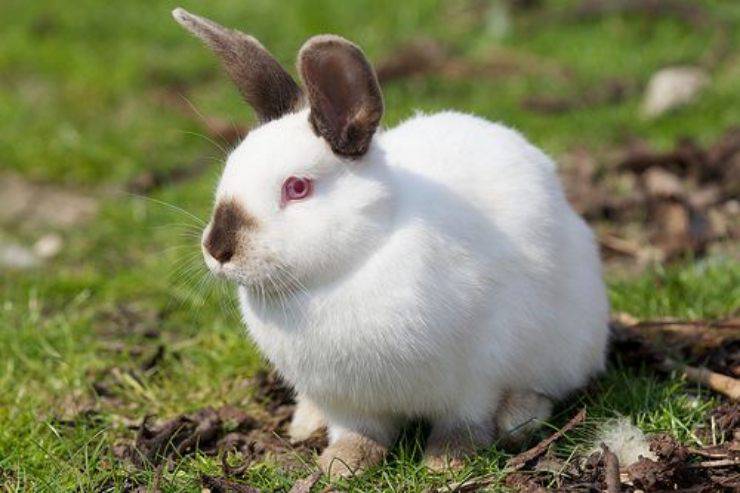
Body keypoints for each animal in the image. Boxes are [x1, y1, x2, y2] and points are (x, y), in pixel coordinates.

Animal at [173, 8, 609, 478]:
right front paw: (340, 465)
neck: (351, 265)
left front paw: (445, 462)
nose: (218, 249)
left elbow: (465, 421)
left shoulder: (475, 379)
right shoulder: (345, 400)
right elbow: (358, 433)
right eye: (229, 171)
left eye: (297, 187)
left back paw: (518, 417)